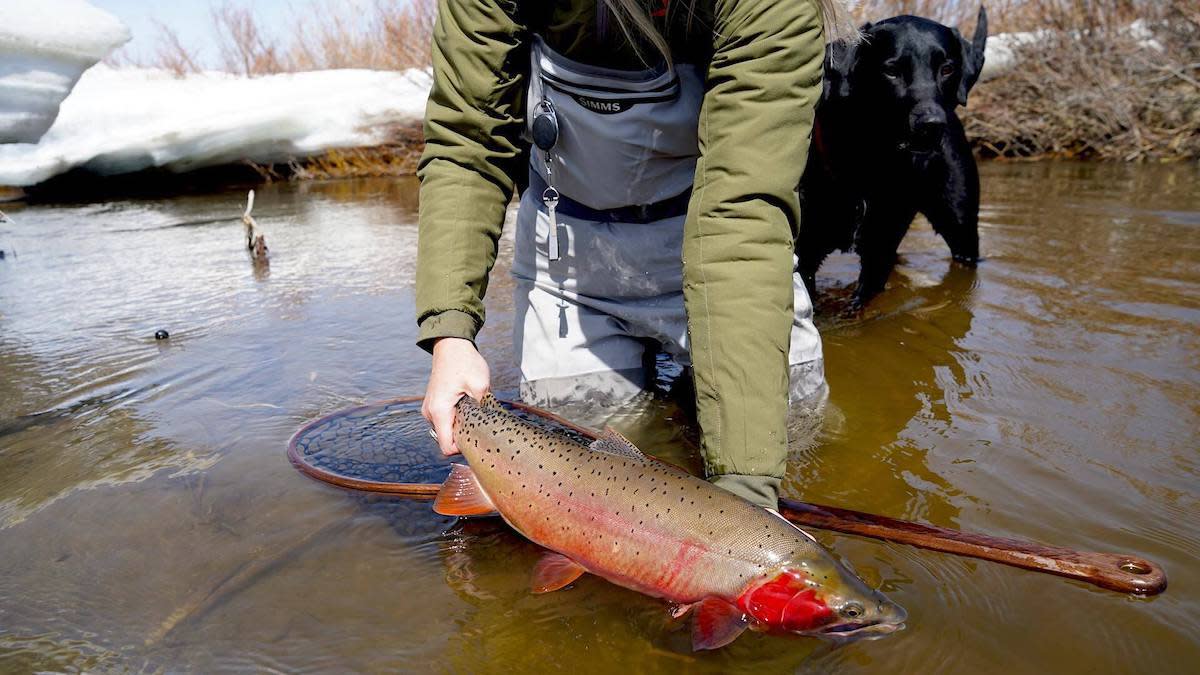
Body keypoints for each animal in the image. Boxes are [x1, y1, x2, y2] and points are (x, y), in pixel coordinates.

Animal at [801, 6, 988, 306]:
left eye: (947, 69)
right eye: (891, 70)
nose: (931, 124)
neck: (869, 161)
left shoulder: (879, 251)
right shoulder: (804, 251)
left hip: (962, 226)